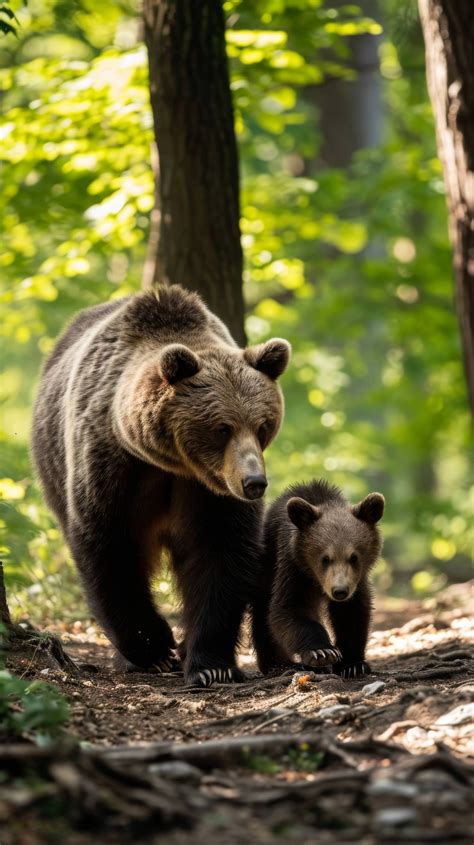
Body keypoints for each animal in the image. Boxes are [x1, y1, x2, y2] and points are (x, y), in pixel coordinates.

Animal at [32, 286, 288, 684]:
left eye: (263, 425)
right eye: (222, 427)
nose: (254, 483)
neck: (171, 464)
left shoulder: (209, 492)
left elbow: (219, 555)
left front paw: (209, 663)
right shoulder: (113, 464)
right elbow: (109, 546)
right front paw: (153, 646)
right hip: (53, 462)